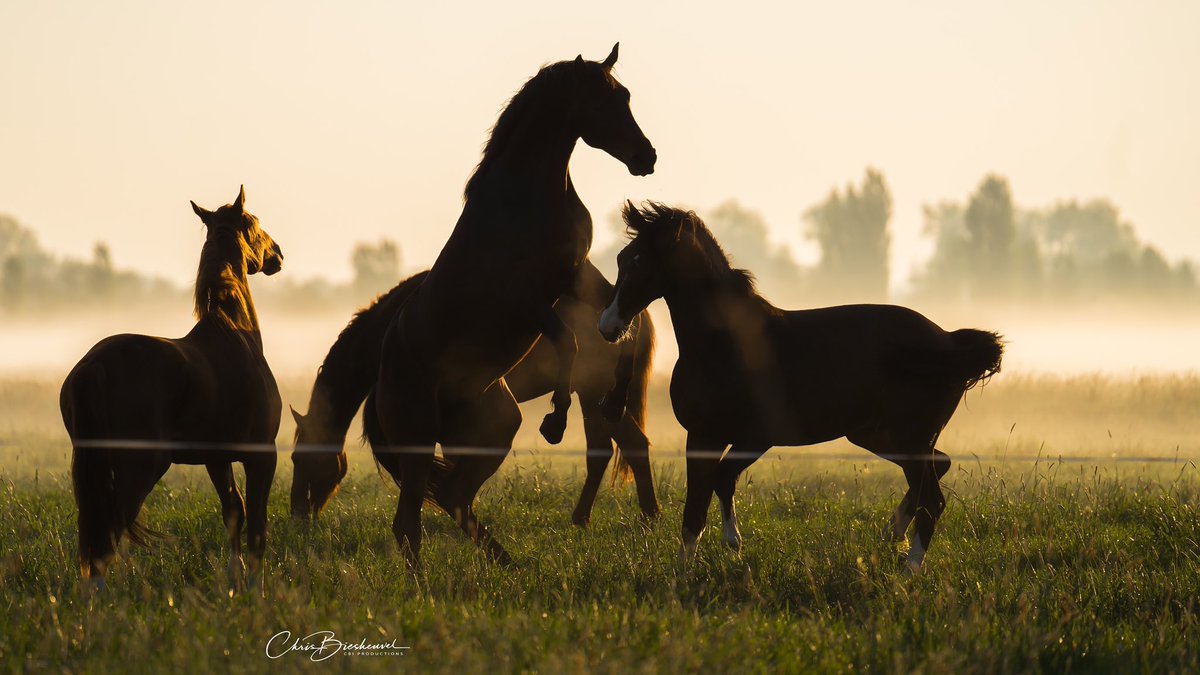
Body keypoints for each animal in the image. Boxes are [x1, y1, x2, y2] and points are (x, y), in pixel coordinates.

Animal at [60, 186, 284, 590]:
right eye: (255, 223)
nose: (278, 254)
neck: (234, 333)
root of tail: (94, 365)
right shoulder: (262, 454)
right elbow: (258, 524)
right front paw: (255, 588)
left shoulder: (216, 457)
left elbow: (233, 511)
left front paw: (234, 583)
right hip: (142, 466)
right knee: (109, 532)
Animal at [289, 262, 659, 526]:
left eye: (304, 458)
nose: (298, 516)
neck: (390, 331)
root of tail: (627, 319)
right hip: (592, 397)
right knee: (605, 451)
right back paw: (591, 518)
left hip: (595, 393)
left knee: (630, 445)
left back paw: (646, 517)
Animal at [366, 44, 656, 567]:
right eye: (602, 101)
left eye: (625, 95)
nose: (647, 157)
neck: (527, 197)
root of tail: (379, 380)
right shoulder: (527, 298)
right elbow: (569, 341)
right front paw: (556, 421)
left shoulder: (577, 278)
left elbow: (626, 326)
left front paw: (614, 396)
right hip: (418, 441)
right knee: (408, 523)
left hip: (492, 427)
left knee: (455, 498)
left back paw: (507, 562)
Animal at [598, 202, 1003, 572]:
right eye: (621, 259)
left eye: (640, 262)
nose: (608, 326)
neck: (722, 344)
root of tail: (948, 340)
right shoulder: (701, 436)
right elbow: (694, 510)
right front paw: (687, 570)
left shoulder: (757, 435)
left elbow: (721, 481)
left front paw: (731, 546)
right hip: (879, 435)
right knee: (938, 469)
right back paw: (892, 533)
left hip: (909, 437)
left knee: (932, 500)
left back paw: (907, 572)